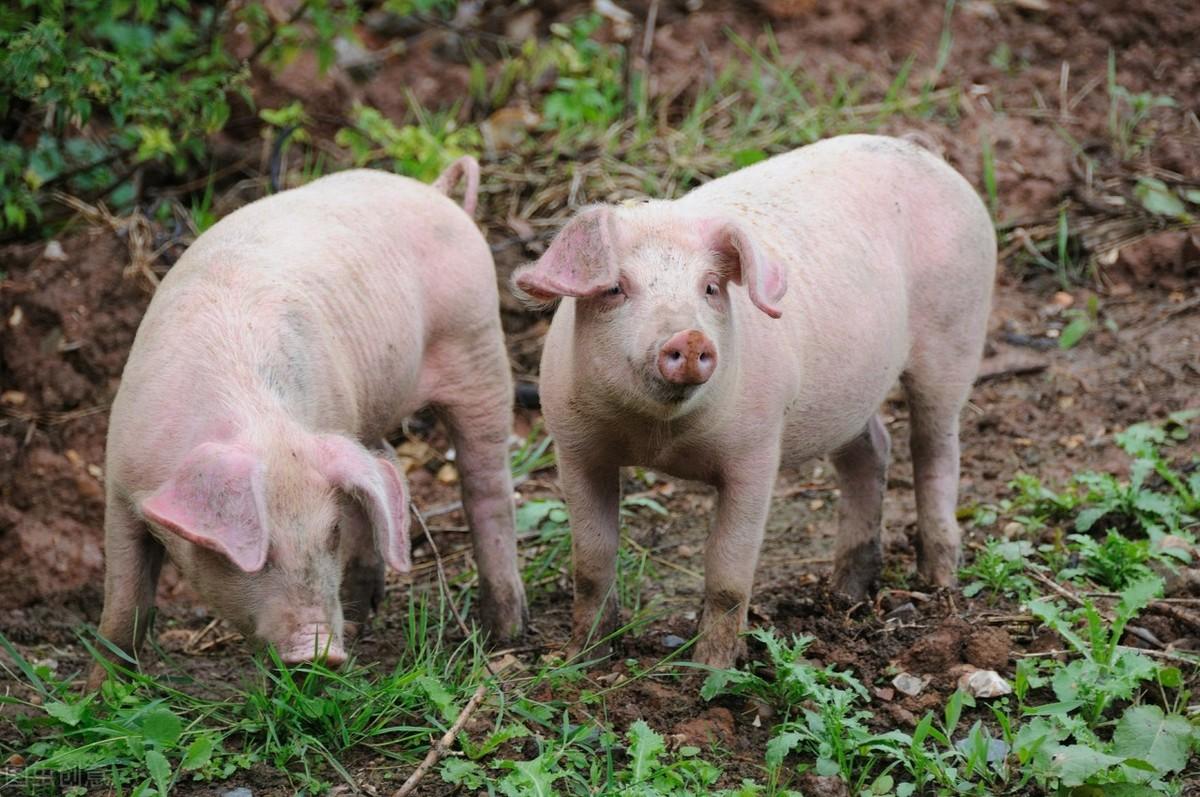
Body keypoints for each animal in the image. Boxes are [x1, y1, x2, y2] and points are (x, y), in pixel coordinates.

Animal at [88, 157, 525, 686]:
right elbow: (124, 605)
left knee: (486, 485)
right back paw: (362, 615)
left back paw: (506, 631)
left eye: (328, 535)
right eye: (260, 553)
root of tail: (438, 192)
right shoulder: (120, 482)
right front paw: (99, 692)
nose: (320, 651)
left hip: (479, 346)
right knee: (385, 465)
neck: (260, 421)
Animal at [516, 135, 993, 667]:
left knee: (935, 449)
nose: (690, 337)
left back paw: (938, 582)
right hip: (848, 397)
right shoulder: (575, 447)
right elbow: (592, 560)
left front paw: (712, 668)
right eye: (616, 288)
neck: (658, 439)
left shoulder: (757, 450)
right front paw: (583, 659)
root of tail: (925, 155)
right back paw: (845, 593)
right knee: (872, 451)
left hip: (956, 334)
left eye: (709, 287)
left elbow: (728, 569)